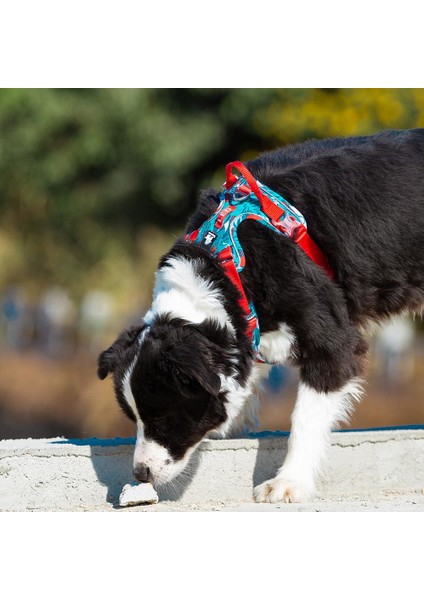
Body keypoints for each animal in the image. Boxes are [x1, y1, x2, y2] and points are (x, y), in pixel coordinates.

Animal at [97, 130, 424, 502]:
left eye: (164, 419)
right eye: (132, 418)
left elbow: (305, 417)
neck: (225, 267)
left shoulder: (332, 340)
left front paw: (289, 481)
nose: (140, 473)